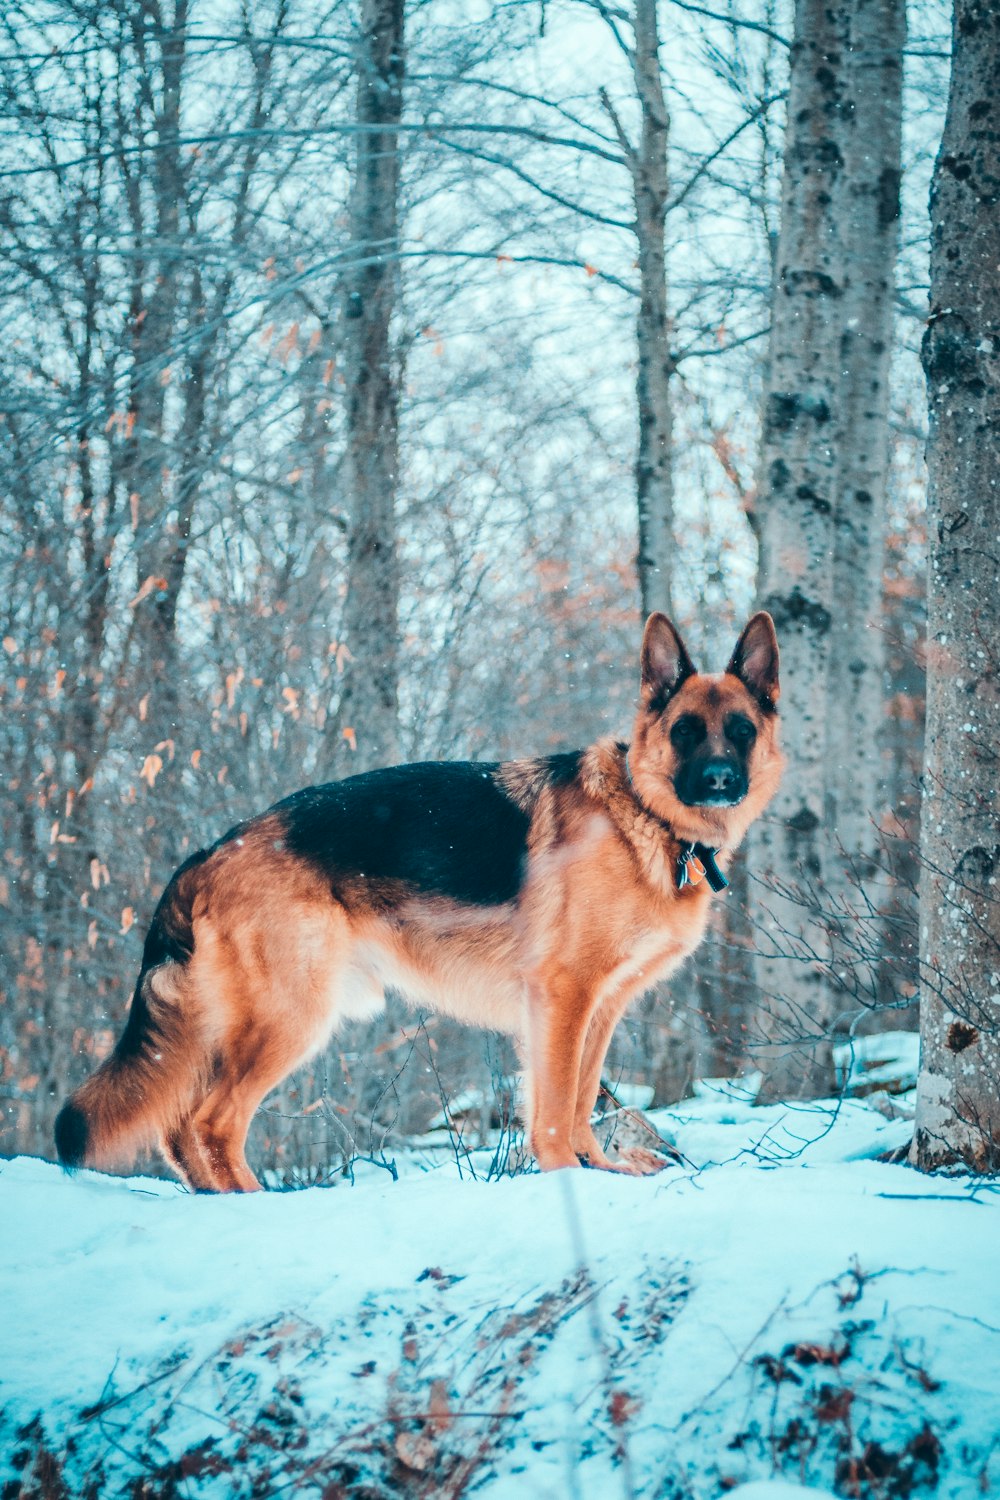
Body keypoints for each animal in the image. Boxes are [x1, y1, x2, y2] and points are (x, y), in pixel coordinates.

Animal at [56, 612, 779, 1194]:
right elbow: (552, 1113)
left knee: (180, 1130)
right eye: (686, 732)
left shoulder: (596, 1009)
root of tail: (211, 848)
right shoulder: (562, 998)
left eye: (740, 731)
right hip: (290, 1018)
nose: (720, 781)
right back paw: (253, 1205)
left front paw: (599, 1170)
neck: (644, 818)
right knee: (209, 1124)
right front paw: (568, 1179)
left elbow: (577, 1104)